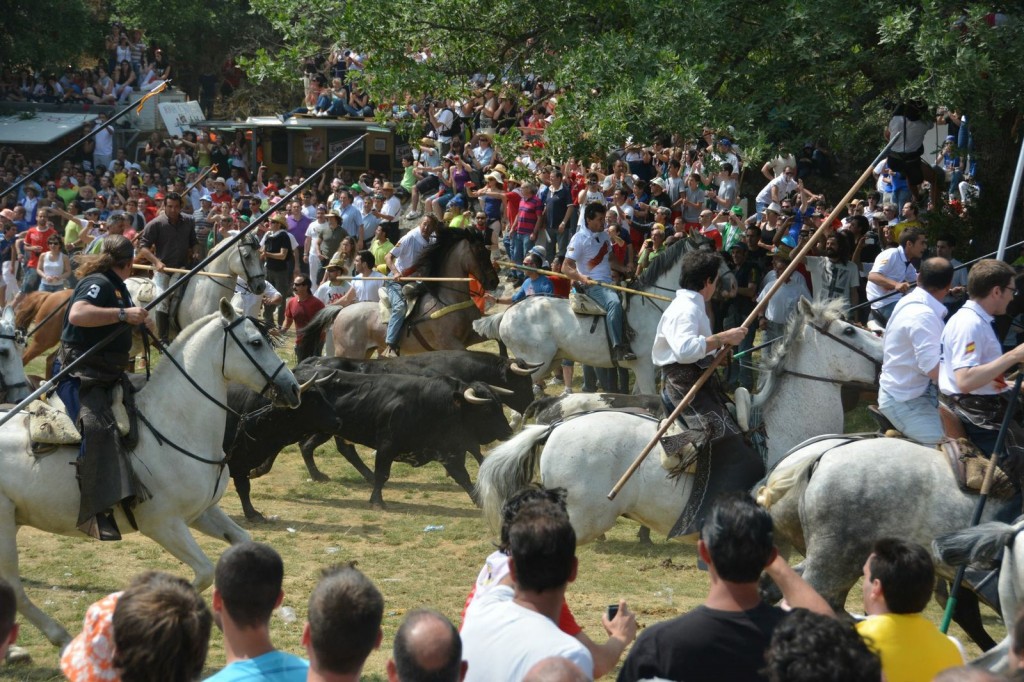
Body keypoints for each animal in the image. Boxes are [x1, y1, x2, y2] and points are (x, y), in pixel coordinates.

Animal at [0, 301, 301, 647]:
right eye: (256, 342)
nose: (294, 389)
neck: (174, 425)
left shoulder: (202, 513)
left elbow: (240, 540)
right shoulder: (163, 524)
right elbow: (203, 572)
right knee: (14, 587)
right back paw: (58, 634)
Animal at [224, 372, 512, 516]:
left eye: (500, 405)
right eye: (487, 409)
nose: (508, 431)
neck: (439, 404)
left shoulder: (449, 451)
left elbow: (464, 477)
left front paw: (480, 500)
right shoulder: (387, 445)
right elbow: (383, 473)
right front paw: (376, 501)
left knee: (318, 448)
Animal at [296, 227, 499, 358]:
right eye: (480, 252)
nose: (494, 281)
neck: (448, 298)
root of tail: (341, 311)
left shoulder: (472, 335)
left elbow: (497, 340)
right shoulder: (450, 343)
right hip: (349, 352)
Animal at [471, 237, 737, 391]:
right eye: (711, 260)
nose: (733, 286)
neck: (654, 305)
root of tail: (507, 314)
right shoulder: (643, 367)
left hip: (549, 361)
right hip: (535, 362)